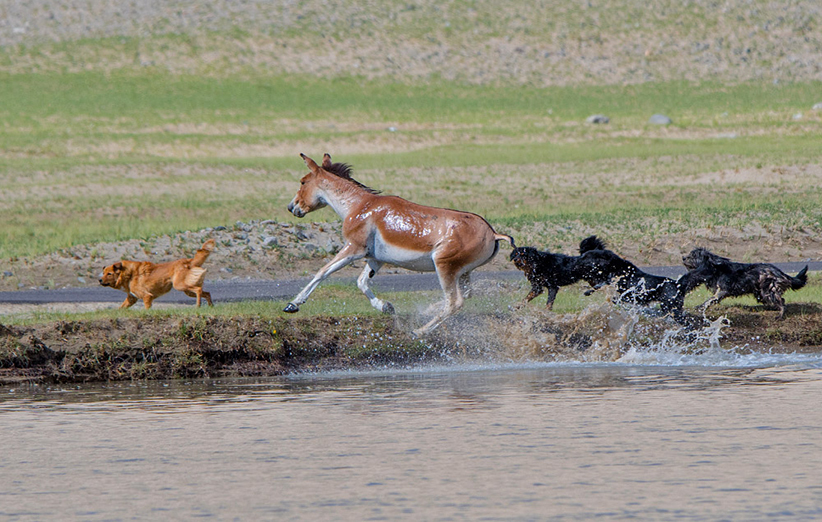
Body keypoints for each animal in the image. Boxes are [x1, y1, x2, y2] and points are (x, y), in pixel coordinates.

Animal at [680, 247, 808, 318]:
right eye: (689, 254)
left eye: (693, 256)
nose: (683, 257)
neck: (715, 268)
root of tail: (780, 272)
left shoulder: (722, 290)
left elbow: (709, 300)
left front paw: (700, 307)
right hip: (761, 294)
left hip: (768, 290)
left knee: (782, 301)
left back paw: (780, 315)